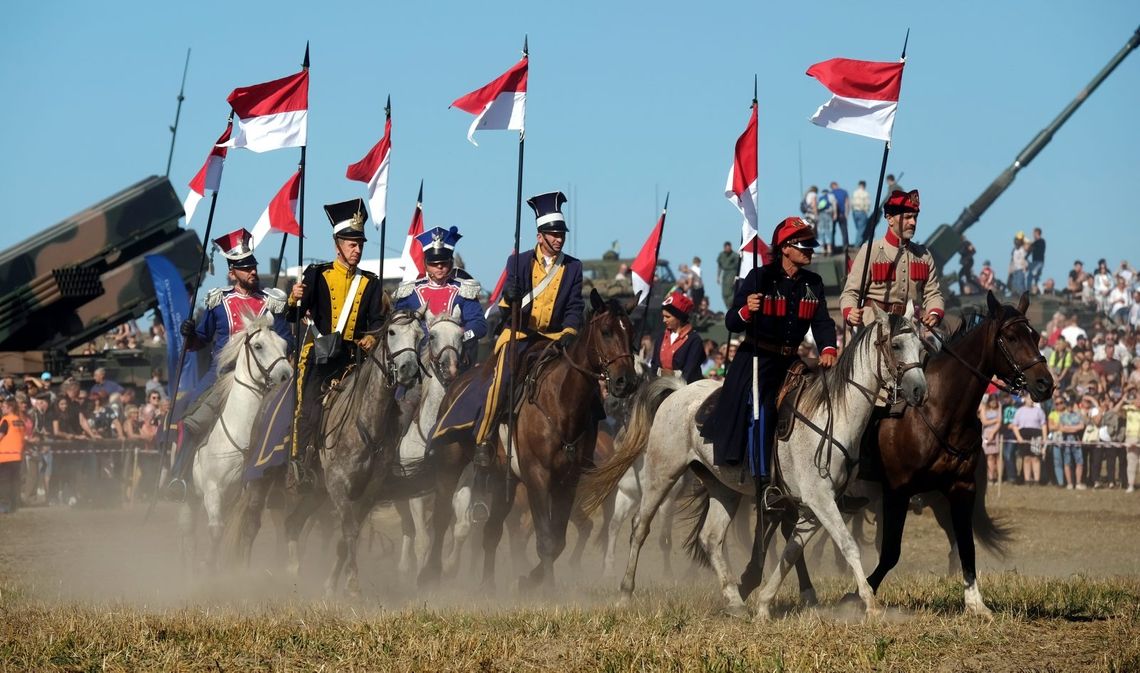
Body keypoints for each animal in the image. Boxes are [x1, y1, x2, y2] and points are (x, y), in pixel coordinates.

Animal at [176, 314, 291, 570]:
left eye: (284, 344)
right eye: (258, 346)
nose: (286, 375)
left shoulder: (250, 494)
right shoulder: (212, 491)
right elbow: (216, 532)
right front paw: (207, 566)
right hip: (190, 500)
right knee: (189, 540)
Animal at [282, 307, 426, 597]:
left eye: (419, 335)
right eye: (392, 332)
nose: (408, 369)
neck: (365, 422)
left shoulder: (369, 491)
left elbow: (350, 534)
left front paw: (332, 585)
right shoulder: (339, 487)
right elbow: (348, 530)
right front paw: (353, 585)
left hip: (318, 492)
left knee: (294, 522)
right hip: (306, 487)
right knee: (292, 521)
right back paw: (293, 572)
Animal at [419, 289, 638, 593]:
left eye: (631, 331)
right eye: (606, 331)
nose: (625, 382)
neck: (561, 402)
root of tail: (456, 385)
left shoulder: (567, 481)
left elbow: (558, 539)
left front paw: (530, 580)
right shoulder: (537, 476)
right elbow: (545, 538)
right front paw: (548, 589)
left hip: (503, 480)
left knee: (491, 531)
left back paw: (487, 585)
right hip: (451, 464)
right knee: (440, 518)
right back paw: (430, 573)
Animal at [579, 303, 925, 620]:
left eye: (922, 346)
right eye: (896, 345)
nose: (920, 391)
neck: (832, 416)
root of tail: (677, 393)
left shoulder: (812, 506)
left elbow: (791, 551)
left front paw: (764, 603)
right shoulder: (820, 499)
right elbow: (847, 544)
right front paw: (871, 605)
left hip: (724, 487)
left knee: (711, 538)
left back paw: (734, 601)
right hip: (661, 476)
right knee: (640, 527)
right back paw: (625, 593)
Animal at [738, 292, 1048, 615]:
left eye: (1036, 336)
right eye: (1011, 337)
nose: (1045, 383)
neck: (938, 412)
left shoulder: (961, 487)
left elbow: (966, 544)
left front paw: (975, 602)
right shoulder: (896, 491)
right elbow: (889, 551)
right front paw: (856, 596)